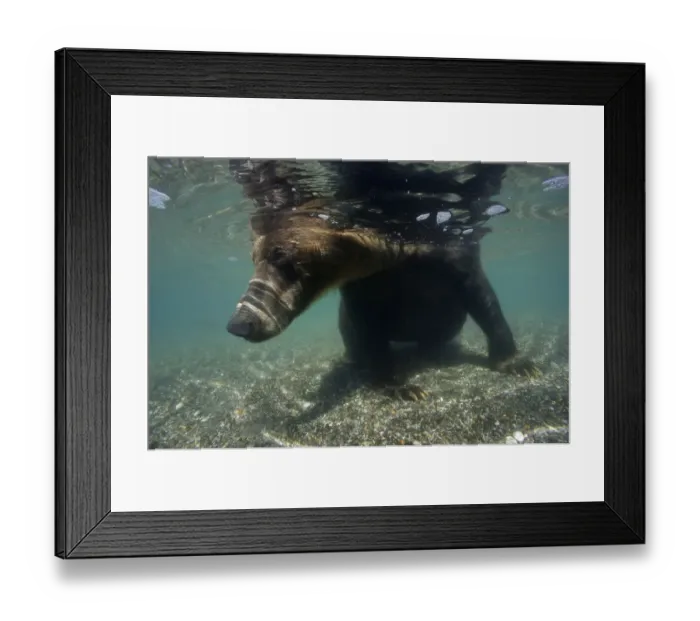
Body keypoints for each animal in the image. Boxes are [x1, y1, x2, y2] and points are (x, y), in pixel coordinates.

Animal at [226, 159, 539, 400]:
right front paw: (402, 387)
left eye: (286, 260)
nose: (240, 324)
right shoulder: (363, 284)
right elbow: (367, 328)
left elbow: (483, 299)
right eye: (254, 258)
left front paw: (518, 364)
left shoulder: (455, 251)